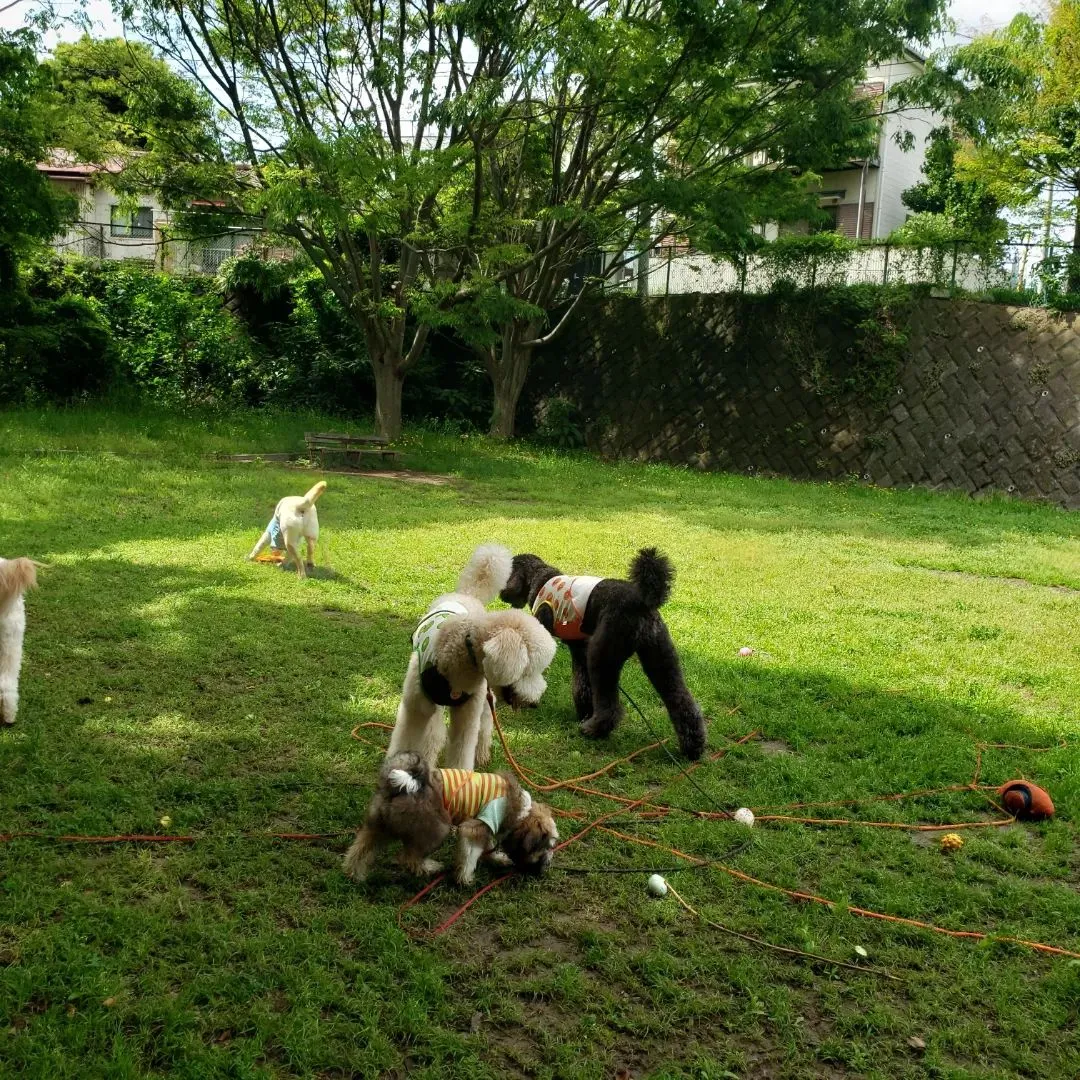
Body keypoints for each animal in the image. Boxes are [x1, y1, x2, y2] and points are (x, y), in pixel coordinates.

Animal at [343, 751, 565, 885]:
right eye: (546, 846)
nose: (546, 866)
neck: (520, 811)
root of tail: (403, 785)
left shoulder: (486, 829)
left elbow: (487, 846)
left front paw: (496, 858)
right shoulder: (476, 826)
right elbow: (470, 856)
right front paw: (465, 878)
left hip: (377, 828)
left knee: (359, 851)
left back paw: (354, 874)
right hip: (437, 828)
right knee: (409, 858)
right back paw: (429, 867)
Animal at [386, 544, 557, 773]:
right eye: (530, 670)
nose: (535, 703)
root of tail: (468, 594)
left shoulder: (468, 715)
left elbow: (462, 751)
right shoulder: (415, 709)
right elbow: (409, 740)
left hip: (483, 699)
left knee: (484, 724)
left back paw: (482, 753)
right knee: (435, 731)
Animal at [498, 548, 704, 760]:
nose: (500, 594)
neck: (539, 578)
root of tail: (642, 601)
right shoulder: (580, 649)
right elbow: (582, 684)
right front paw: (584, 712)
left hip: (603, 654)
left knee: (611, 706)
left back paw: (594, 730)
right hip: (660, 657)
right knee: (682, 702)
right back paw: (692, 748)